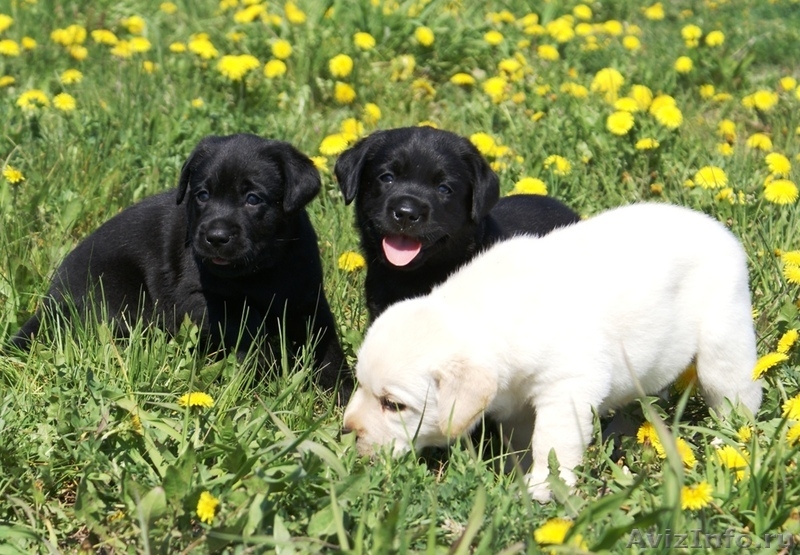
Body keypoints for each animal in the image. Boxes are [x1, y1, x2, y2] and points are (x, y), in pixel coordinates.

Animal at [12, 134, 350, 394]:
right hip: (117, 298)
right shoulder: (196, 301)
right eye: (202, 195)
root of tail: (50, 301)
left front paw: (342, 393)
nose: (215, 237)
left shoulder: (308, 300)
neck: (263, 270)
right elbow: (249, 322)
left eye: (253, 199)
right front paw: (269, 365)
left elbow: (328, 347)